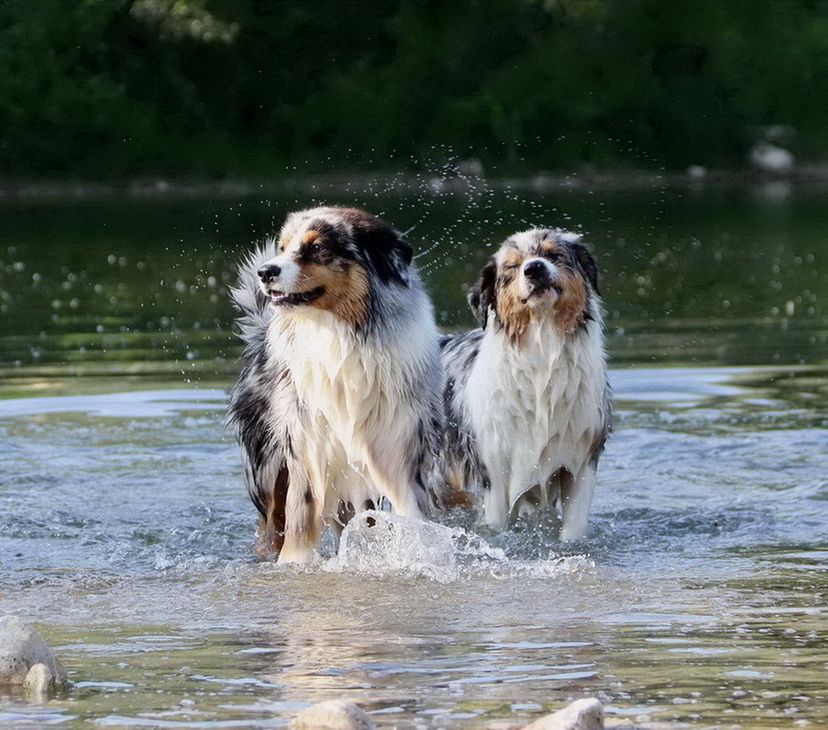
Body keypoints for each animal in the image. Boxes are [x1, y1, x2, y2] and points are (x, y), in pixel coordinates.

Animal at [226, 205, 444, 564]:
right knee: (272, 524)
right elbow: (300, 524)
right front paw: (295, 564)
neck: (341, 336)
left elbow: (409, 515)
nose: (265, 271)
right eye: (283, 247)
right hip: (266, 470)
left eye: (317, 247)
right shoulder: (307, 448)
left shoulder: (398, 448)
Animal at [440, 228, 608, 540]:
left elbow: (573, 530)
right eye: (512, 267)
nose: (534, 268)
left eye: (554, 255)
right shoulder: (493, 469)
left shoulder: (581, 465)